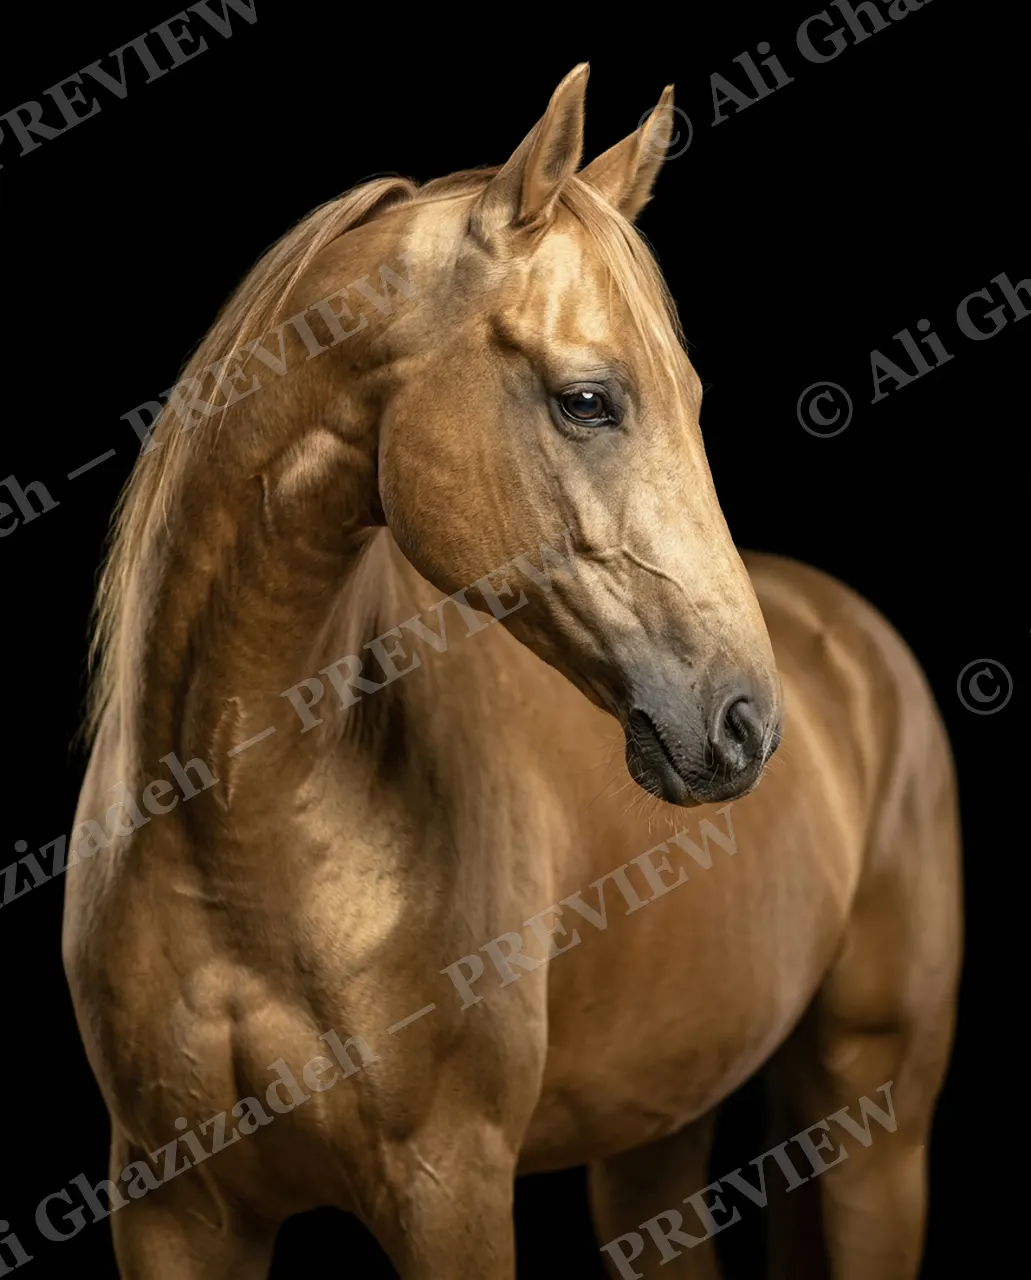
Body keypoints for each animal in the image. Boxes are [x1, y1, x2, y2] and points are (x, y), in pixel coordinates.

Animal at [64, 65, 961, 1278]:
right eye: (588, 398)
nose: (743, 723)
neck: (239, 833)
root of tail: (846, 634)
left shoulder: (452, 1190)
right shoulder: (172, 1211)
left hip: (879, 1120)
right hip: (653, 1140)